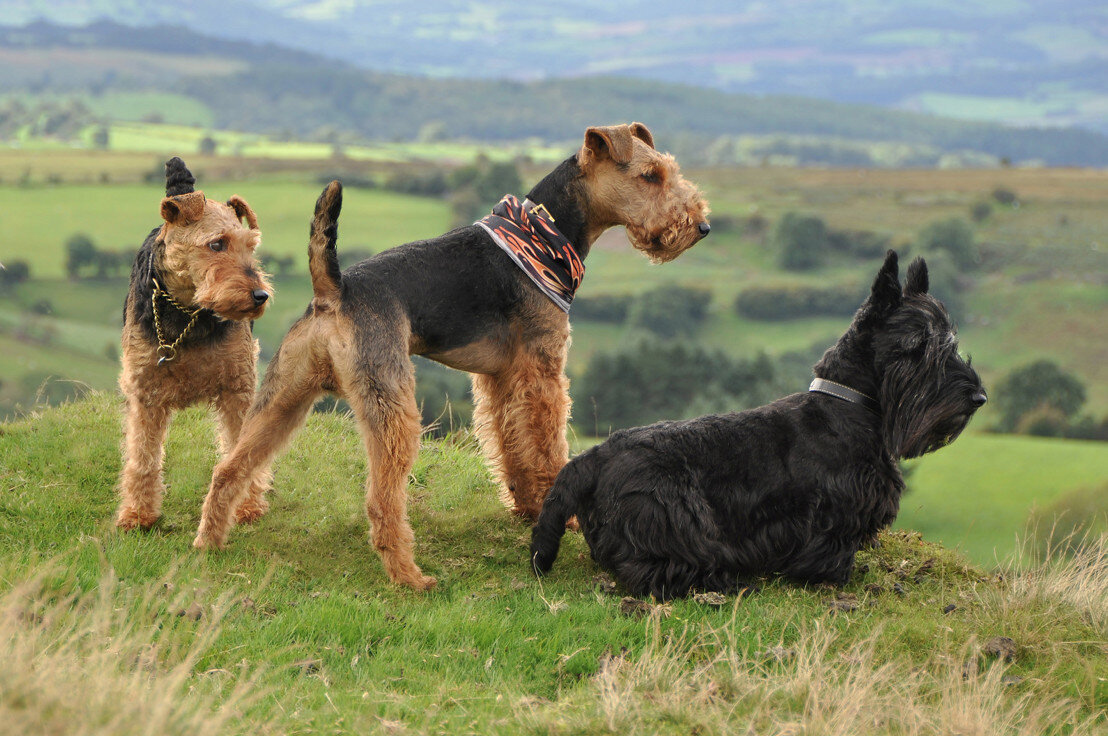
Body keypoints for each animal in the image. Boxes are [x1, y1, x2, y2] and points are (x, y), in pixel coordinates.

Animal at [531, 251, 992, 598]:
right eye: (919, 346)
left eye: (950, 342)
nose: (978, 398)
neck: (847, 404)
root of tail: (596, 455)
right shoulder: (832, 515)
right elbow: (831, 550)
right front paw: (836, 576)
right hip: (678, 520)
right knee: (653, 568)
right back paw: (726, 580)